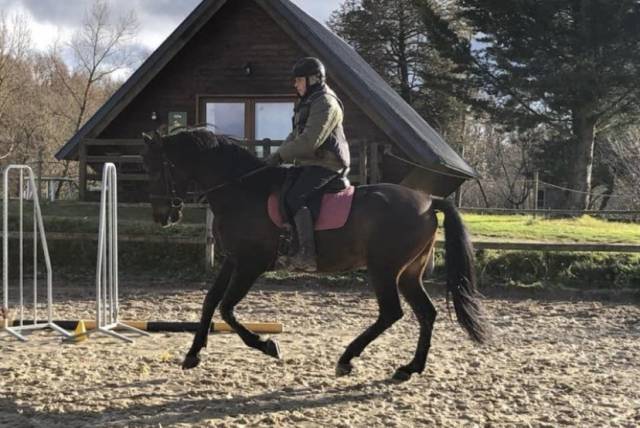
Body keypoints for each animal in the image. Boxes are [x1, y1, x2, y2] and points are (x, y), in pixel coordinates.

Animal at [141, 128, 489, 382]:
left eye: (157, 169)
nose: (161, 215)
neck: (242, 191)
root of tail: (428, 201)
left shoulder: (251, 264)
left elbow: (227, 308)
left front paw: (267, 345)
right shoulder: (233, 259)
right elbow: (210, 301)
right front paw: (193, 353)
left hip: (384, 269)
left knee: (392, 312)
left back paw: (347, 359)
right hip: (408, 273)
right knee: (425, 313)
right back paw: (410, 367)